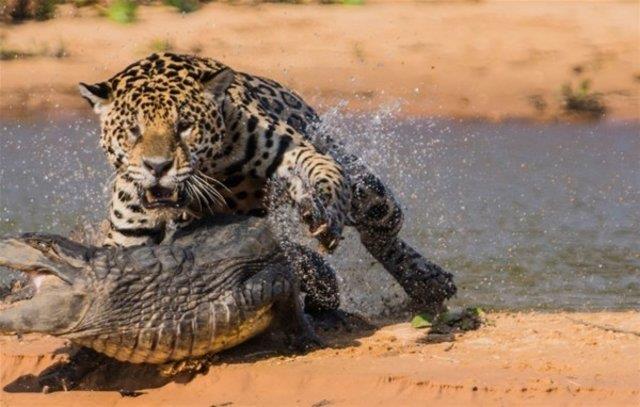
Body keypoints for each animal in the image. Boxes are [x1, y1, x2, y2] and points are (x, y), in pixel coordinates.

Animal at [78, 52, 456, 309]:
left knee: (381, 230)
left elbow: (325, 176)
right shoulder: (129, 237)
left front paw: (327, 214)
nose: (158, 166)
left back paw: (427, 281)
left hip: (368, 191)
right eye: (133, 130)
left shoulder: (294, 149)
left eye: (184, 126)